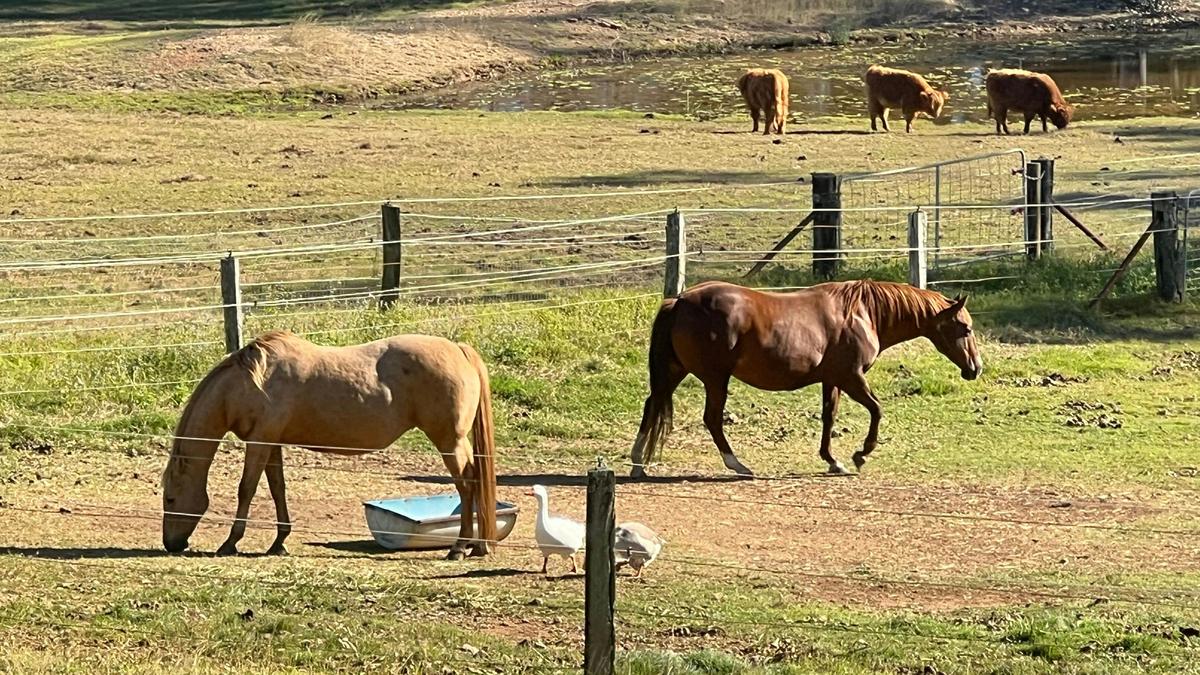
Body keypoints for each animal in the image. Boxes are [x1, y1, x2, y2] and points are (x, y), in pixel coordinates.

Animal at [160, 330, 498, 559]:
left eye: (170, 499)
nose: (172, 544)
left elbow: (247, 489)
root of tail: (459, 350)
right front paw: (279, 542)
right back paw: (476, 546)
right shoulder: (272, 443)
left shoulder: (259, 442)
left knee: (467, 483)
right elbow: (277, 489)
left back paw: (459, 547)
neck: (248, 384)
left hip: (449, 441)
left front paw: (230, 542)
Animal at [629, 280, 982, 477]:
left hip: (675, 372)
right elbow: (877, 410)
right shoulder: (852, 378)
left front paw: (833, 461)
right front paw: (861, 454)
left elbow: (829, 417)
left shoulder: (832, 380)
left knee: (651, 406)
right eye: (965, 328)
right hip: (715, 379)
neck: (862, 313)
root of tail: (680, 301)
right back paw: (738, 465)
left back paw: (637, 464)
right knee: (712, 419)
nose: (975, 368)